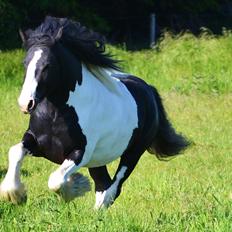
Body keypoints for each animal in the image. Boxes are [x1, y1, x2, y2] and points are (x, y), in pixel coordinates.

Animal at [0, 16, 188, 208]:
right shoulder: (35, 141)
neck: (56, 115)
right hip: (98, 160)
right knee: (103, 183)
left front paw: (75, 187)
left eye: (47, 66)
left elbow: (56, 180)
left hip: (133, 153)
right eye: (25, 63)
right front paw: (14, 194)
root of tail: (149, 89)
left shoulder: (81, 152)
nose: (25, 103)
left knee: (113, 188)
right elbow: (15, 151)